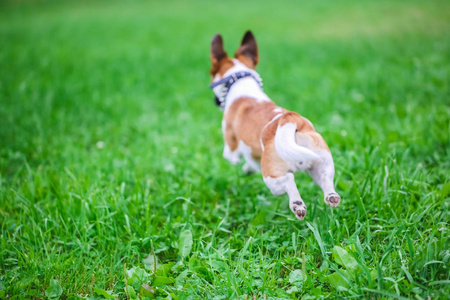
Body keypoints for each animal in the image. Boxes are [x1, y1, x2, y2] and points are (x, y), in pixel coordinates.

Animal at [209, 30, 340, 220]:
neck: (241, 85)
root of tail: (290, 118)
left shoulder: (231, 149)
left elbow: (238, 158)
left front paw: (247, 168)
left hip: (272, 177)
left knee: (289, 180)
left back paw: (297, 205)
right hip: (320, 163)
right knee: (325, 178)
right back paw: (331, 197)